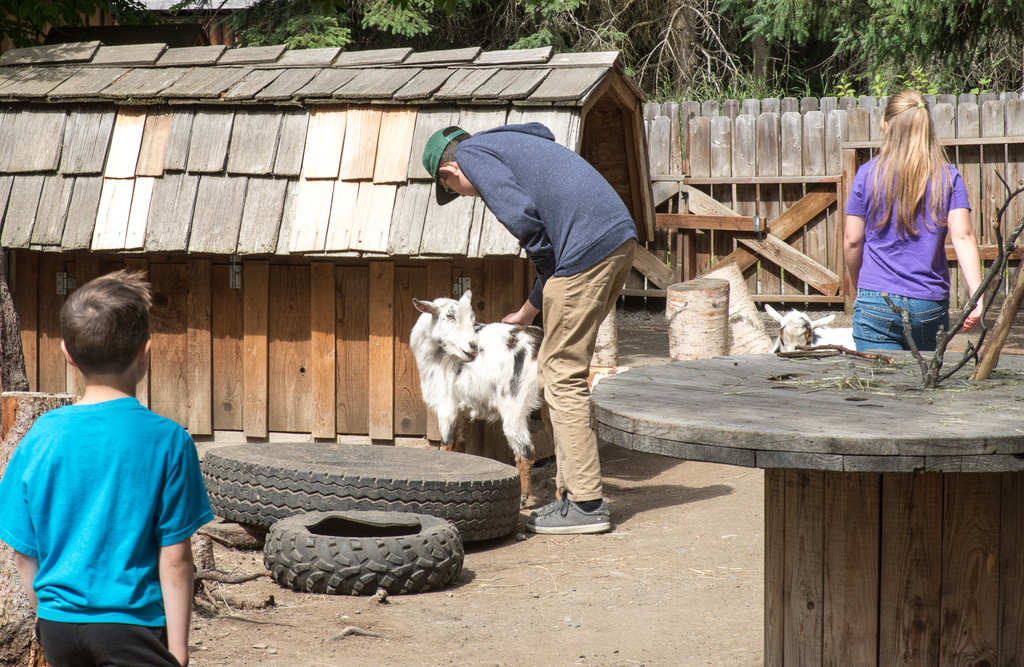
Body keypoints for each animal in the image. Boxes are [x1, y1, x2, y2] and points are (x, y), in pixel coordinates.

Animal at [411, 293, 548, 506]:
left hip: (515, 404)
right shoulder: (462, 409)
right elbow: (460, 445)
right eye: (449, 316)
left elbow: (446, 445)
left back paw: (522, 497)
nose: (473, 346)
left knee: (526, 452)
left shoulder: (446, 405)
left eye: (472, 318)